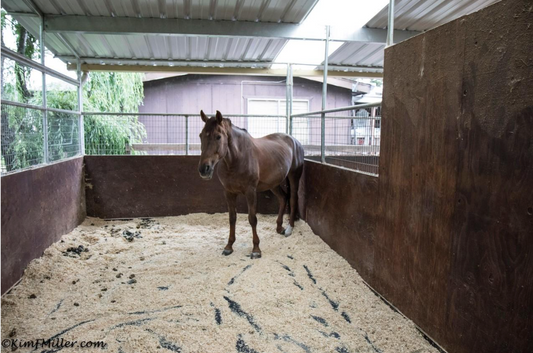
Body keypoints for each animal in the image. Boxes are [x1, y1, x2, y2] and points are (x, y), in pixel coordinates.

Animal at [197, 110, 304, 258]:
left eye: (218, 136)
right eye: (201, 135)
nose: (204, 169)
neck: (236, 159)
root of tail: (295, 141)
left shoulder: (250, 192)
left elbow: (252, 219)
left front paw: (256, 249)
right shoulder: (229, 192)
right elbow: (232, 218)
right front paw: (229, 246)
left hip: (294, 177)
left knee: (293, 199)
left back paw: (289, 228)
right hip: (273, 183)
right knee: (283, 198)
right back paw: (279, 227)